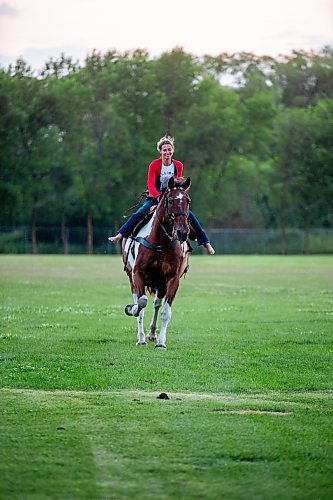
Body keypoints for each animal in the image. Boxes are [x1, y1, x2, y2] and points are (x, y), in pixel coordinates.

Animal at [120, 176, 191, 348]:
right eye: (170, 201)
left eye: (188, 201)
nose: (182, 232)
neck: (159, 241)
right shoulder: (137, 274)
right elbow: (141, 303)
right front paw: (132, 311)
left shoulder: (172, 279)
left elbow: (165, 311)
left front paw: (161, 342)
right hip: (131, 277)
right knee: (139, 300)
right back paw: (141, 335)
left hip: (160, 283)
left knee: (157, 304)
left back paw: (152, 334)